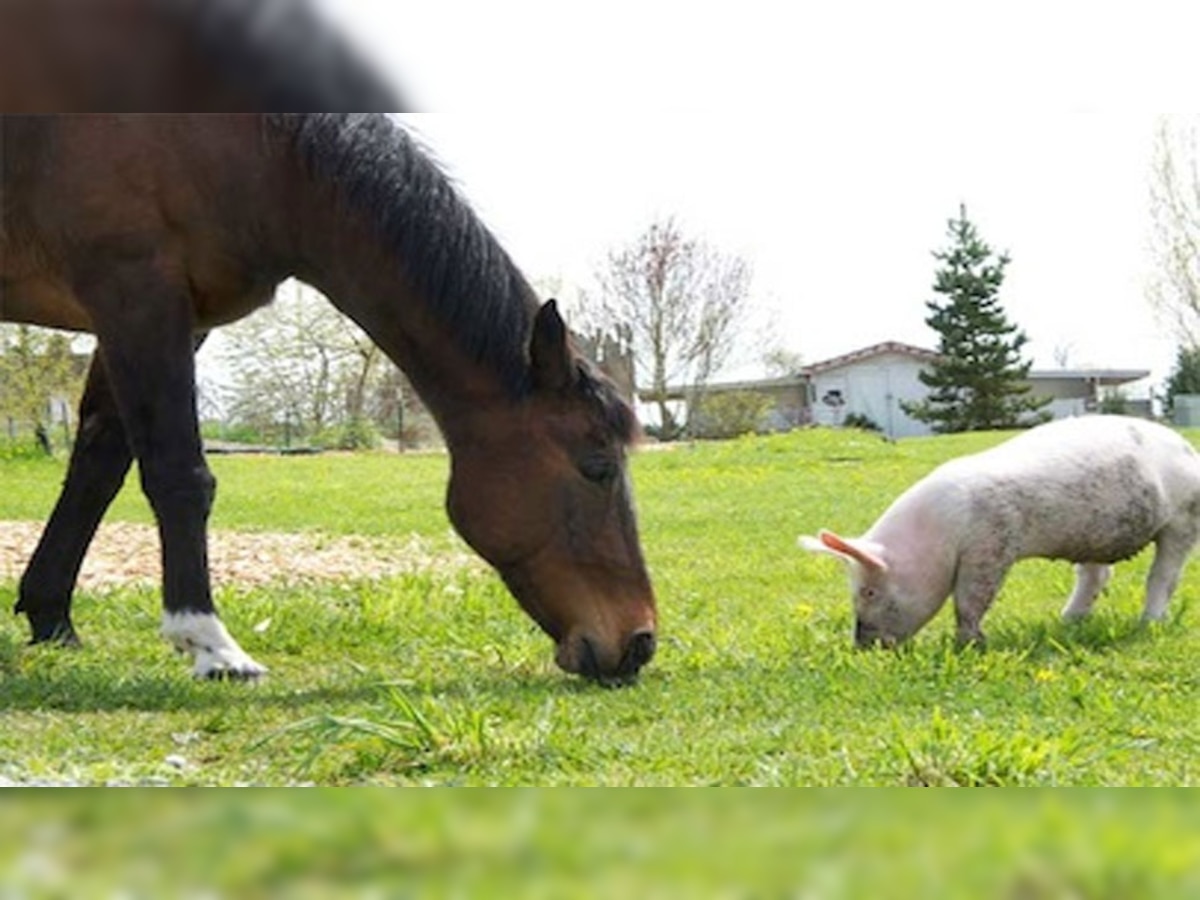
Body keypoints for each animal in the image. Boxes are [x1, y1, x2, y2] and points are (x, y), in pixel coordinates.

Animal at [0, 116, 657, 686]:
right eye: (597, 467)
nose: (640, 641)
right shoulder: (133, 292)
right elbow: (179, 475)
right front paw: (210, 645)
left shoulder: (173, 317)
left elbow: (98, 466)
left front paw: (51, 617)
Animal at [796, 415, 1200, 648]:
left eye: (868, 590)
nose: (861, 646)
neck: (940, 531)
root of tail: (1187, 448)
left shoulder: (990, 544)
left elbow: (971, 598)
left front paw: (968, 645)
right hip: (1092, 536)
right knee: (1096, 575)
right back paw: (1066, 621)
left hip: (1183, 517)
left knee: (1163, 575)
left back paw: (1149, 624)